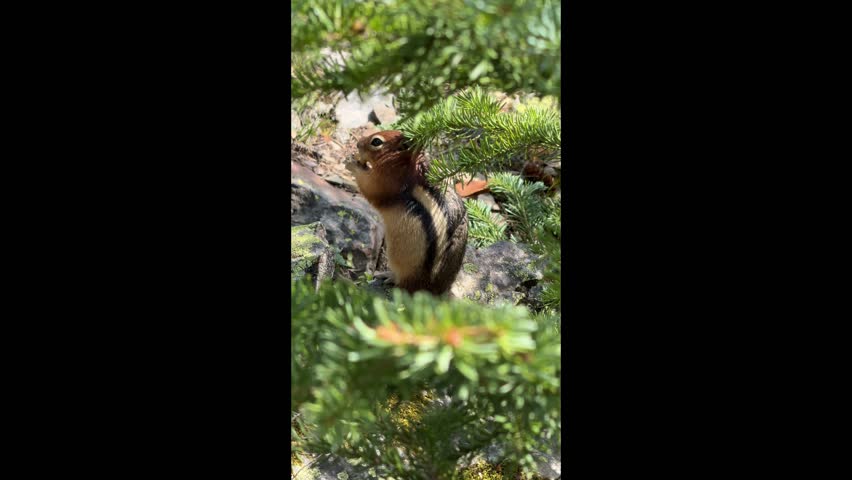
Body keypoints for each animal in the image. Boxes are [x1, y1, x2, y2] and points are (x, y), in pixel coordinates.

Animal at [345, 130, 468, 295]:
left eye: (376, 142)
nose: (358, 144)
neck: (406, 165)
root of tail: (435, 291)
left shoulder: (386, 182)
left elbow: (369, 186)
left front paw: (352, 162)